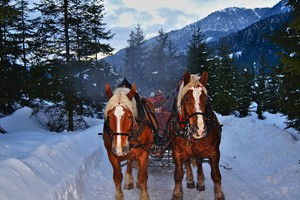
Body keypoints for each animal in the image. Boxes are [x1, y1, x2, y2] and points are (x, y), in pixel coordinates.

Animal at [168, 70, 224, 200]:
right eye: (186, 98)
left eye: (206, 99)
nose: (200, 129)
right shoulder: (177, 152)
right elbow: (178, 174)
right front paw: (177, 193)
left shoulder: (214, 152)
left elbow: (216, 175)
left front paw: (219, 195)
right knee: (188, 162)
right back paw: (190, 180)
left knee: (198, 162)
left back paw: (200, 181)